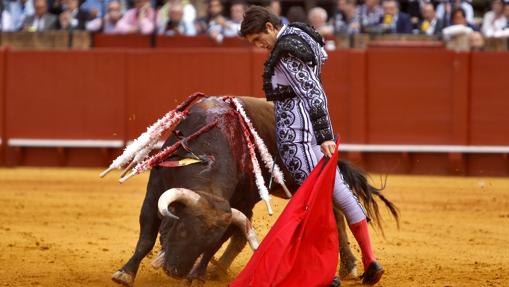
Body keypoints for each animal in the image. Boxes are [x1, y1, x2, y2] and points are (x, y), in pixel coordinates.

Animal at [110, 95, 396, 286]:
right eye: (181, 230)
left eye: (207, 239)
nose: (175, 271)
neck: (208, 152)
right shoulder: (155, 190)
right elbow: (146, 236)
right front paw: (125, 273)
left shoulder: (235, 207)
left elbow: (223, 241)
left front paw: (196, 276)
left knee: (336, 211)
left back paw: (351, 265)